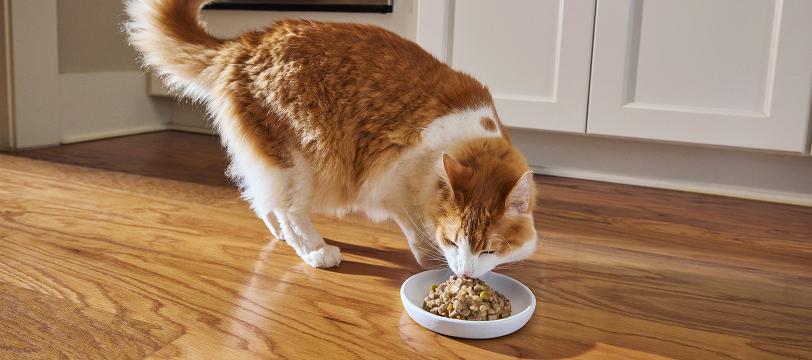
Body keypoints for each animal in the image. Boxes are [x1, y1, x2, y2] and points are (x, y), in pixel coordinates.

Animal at [127, 0, 540, 278]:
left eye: (489, 250)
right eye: (456, 241)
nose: (465, 274)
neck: (468, 139)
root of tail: (247, 42)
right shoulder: (392, 179)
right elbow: (417, 228)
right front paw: (431, 259)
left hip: (277, 161)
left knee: (263, 200)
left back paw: (281, 236)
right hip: (300, 159)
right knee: (290, 211)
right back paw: (316, 251)